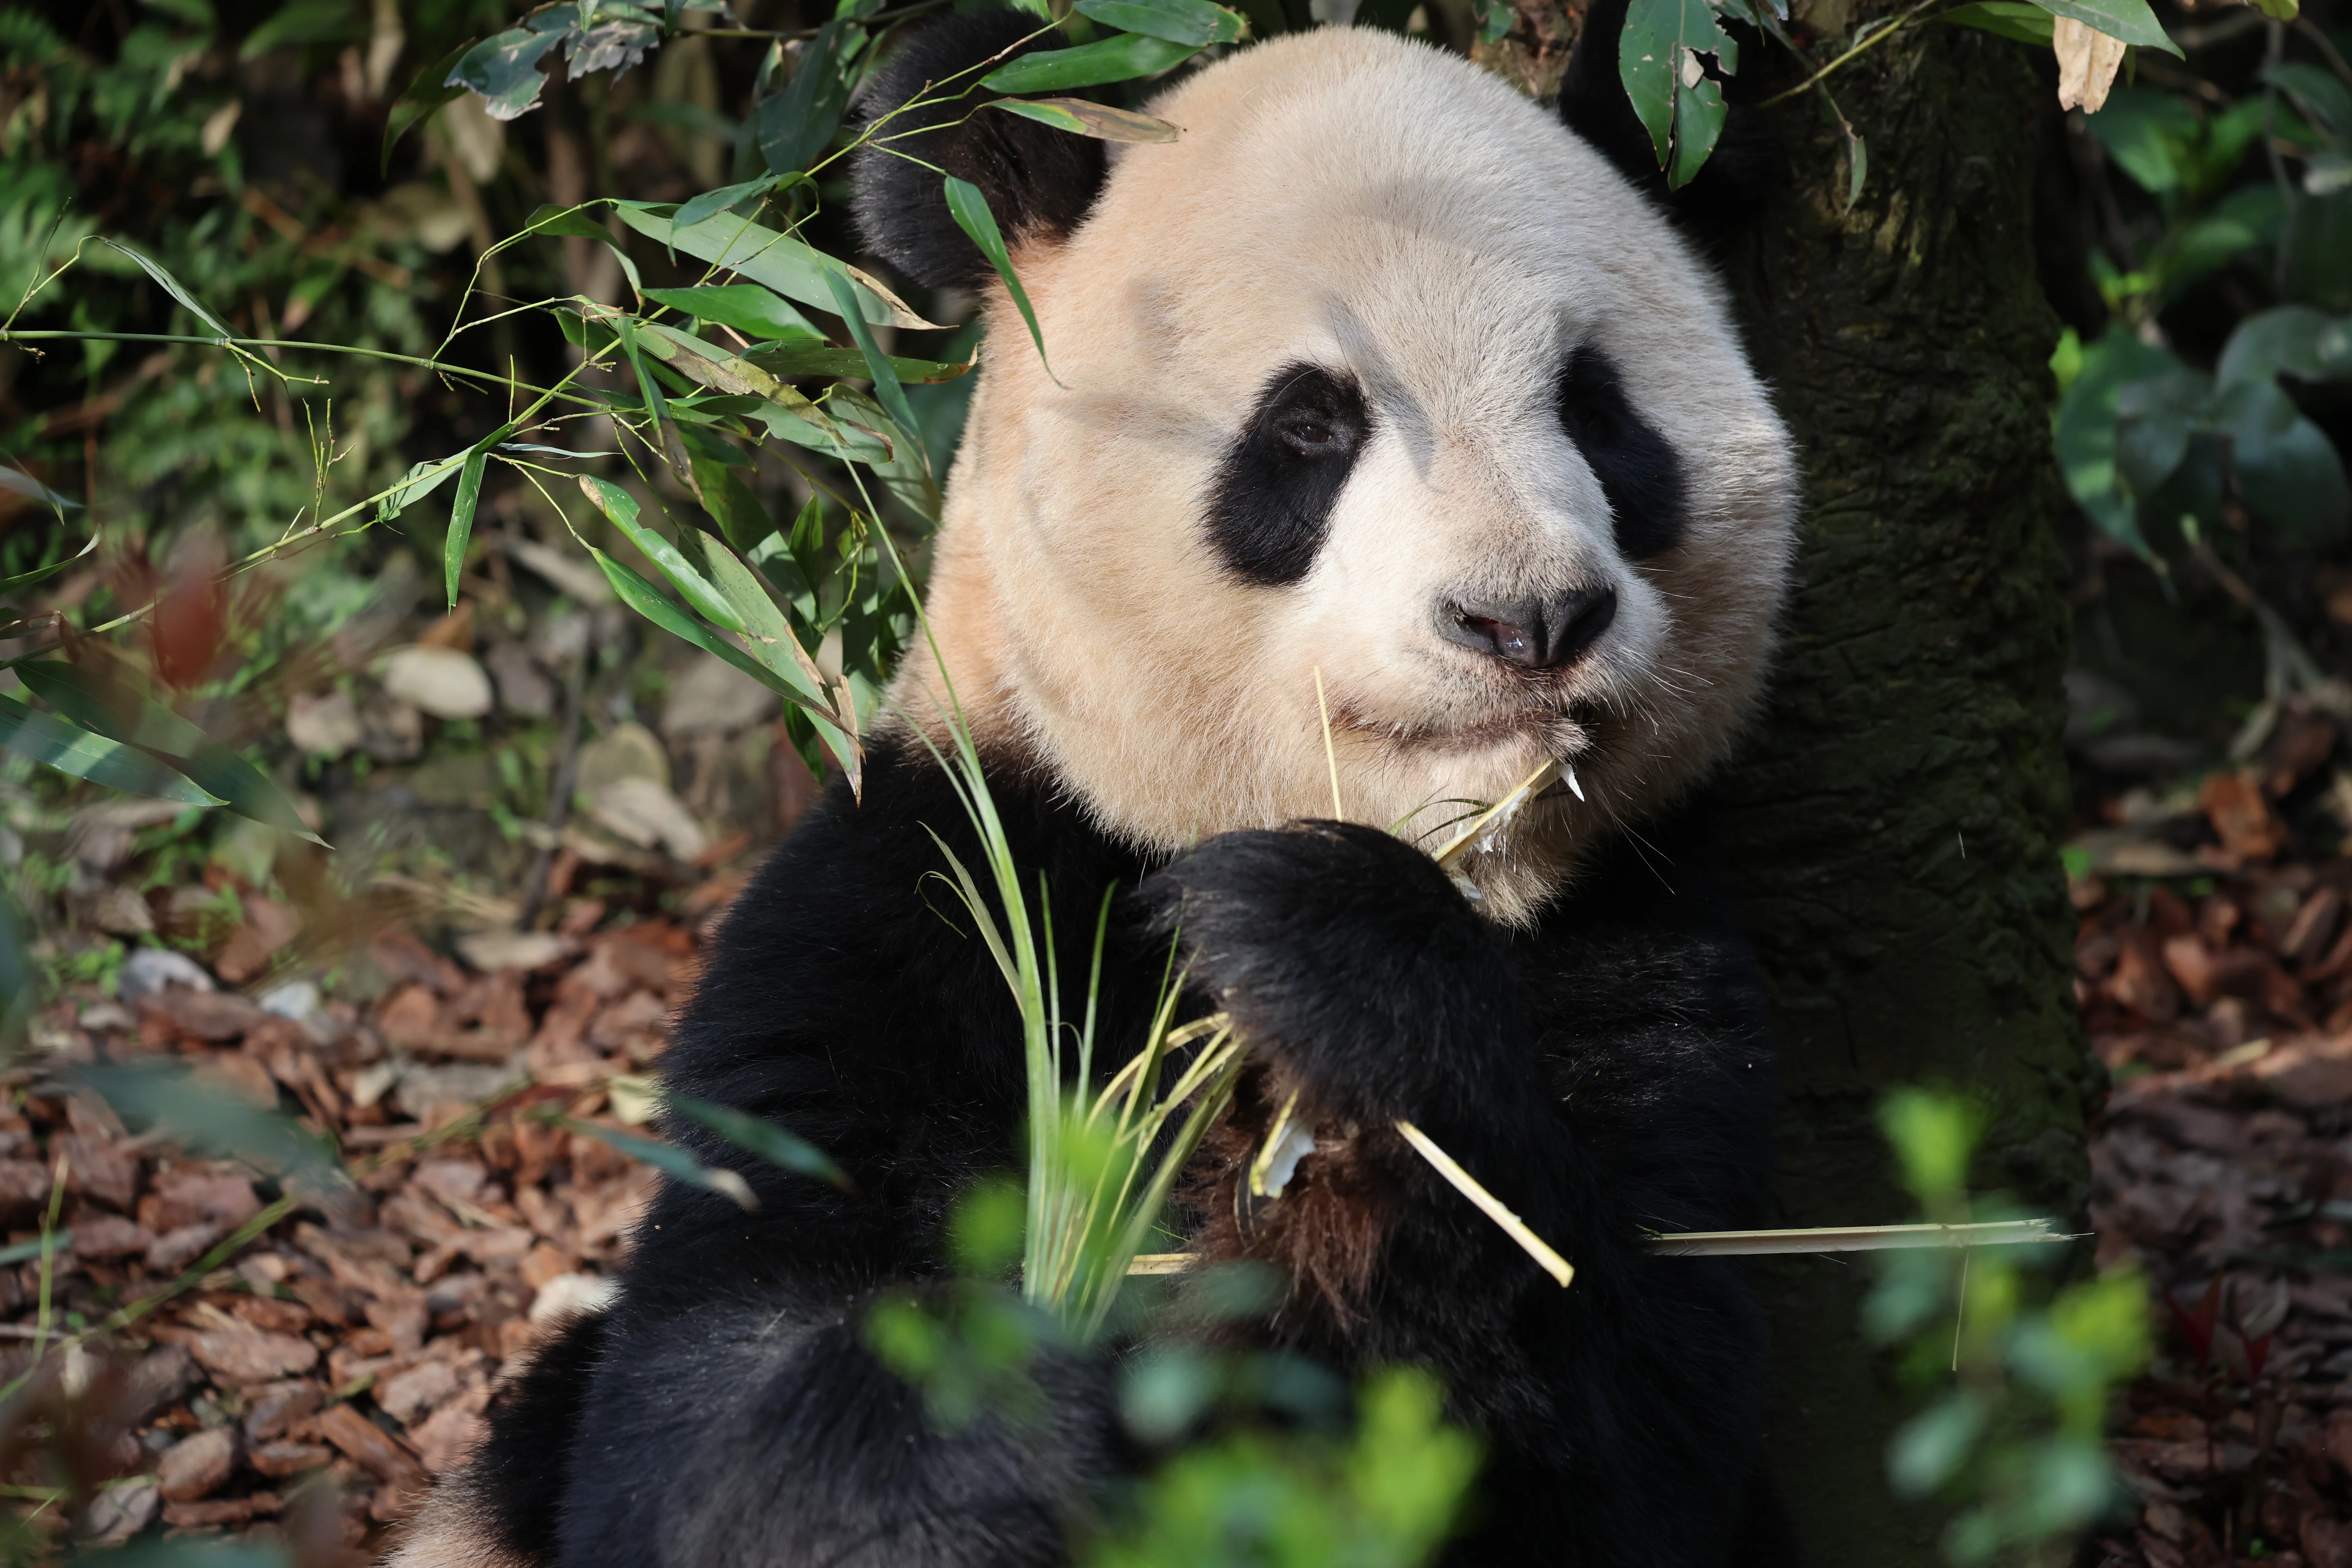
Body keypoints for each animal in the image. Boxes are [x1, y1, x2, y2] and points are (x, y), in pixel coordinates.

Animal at [396, 7, 1799, 1566]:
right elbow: (702, 1404)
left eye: (1599, 413)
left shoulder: (1640, 931)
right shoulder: (926, 894)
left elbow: (1636, 1420)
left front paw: (1329, 950)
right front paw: (1015, 1395)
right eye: (1310, 427)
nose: (1528, 618)